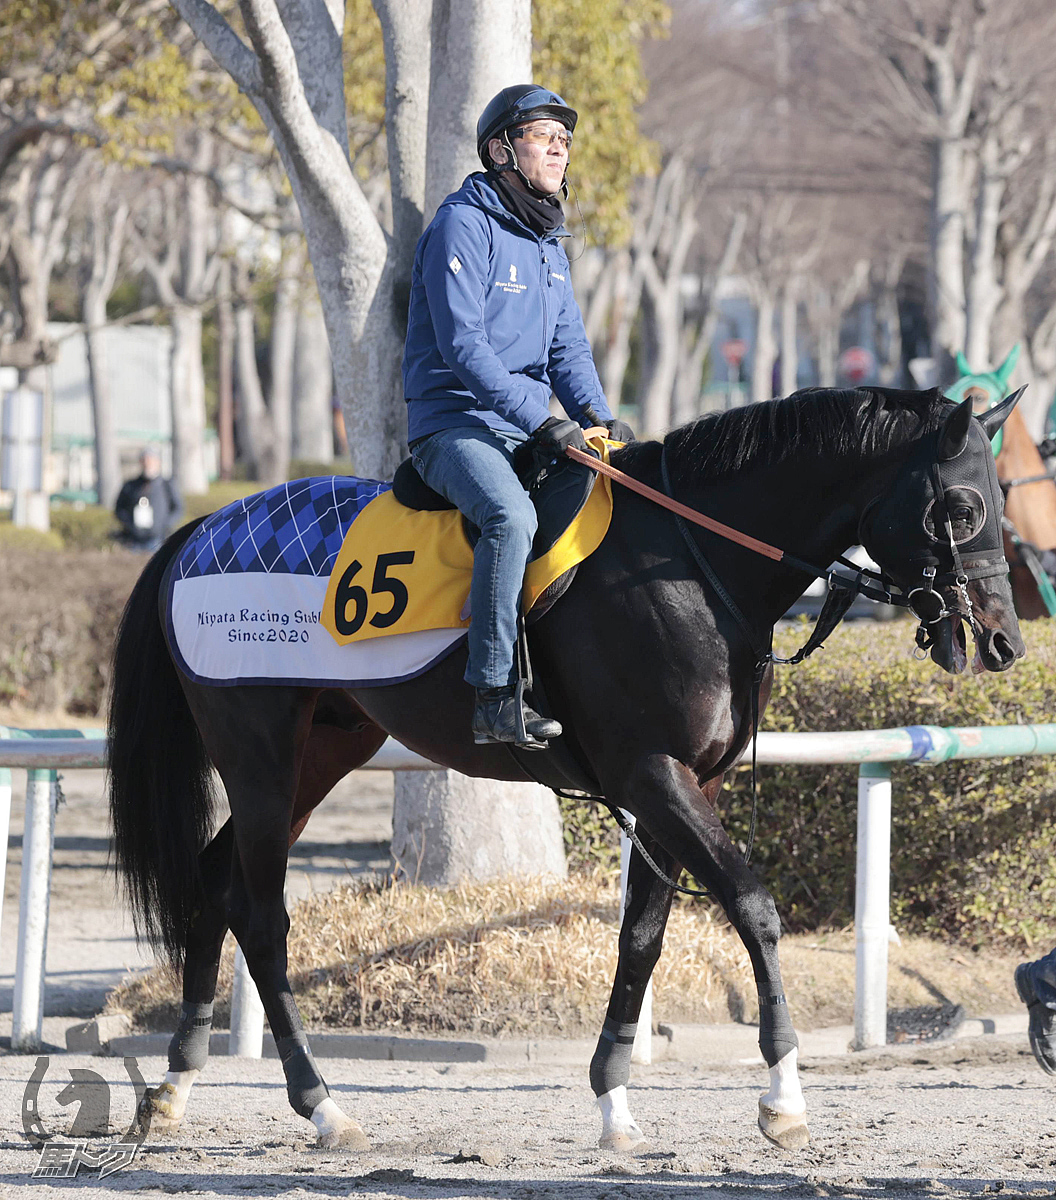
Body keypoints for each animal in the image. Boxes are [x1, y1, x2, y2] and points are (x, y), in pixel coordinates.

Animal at [107, 384, 1022, 1152]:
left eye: (1004, 499)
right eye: (963, 504)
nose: (1003, 640)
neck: (689, 561)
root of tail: (199, 531)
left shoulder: (685, 784)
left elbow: (643, 937)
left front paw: (615, 1101)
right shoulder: (654, 774)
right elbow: (754, 908)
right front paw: (783, 1098)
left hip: (324, 750)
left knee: (216, 876)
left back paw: (175, 1084)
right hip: (259, 750)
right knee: (261, 917)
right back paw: (323, 1105)